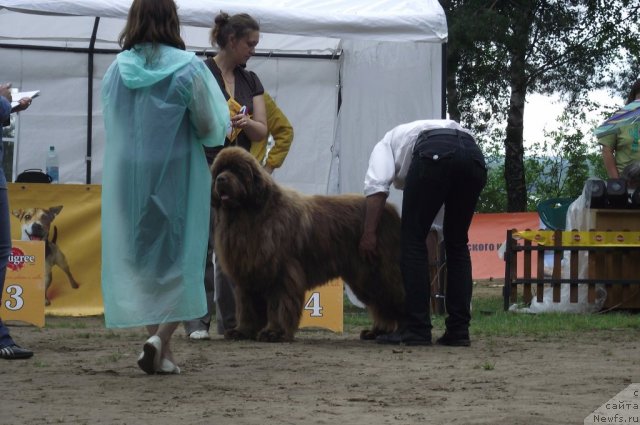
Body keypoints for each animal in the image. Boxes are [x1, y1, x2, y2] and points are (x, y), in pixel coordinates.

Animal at [212, 147, 402, 342]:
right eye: (219, 170)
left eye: (237, 170)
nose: (221, 179)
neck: (251, 215)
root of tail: (390, 209)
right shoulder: (248, 272)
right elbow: (246, 306)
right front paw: (242, 331)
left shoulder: (280, 272)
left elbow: (277, 304)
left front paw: (274, 332)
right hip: (364, 276)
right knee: (381, 303)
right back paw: (377, 331)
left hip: (377, 271)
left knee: (394, 297)